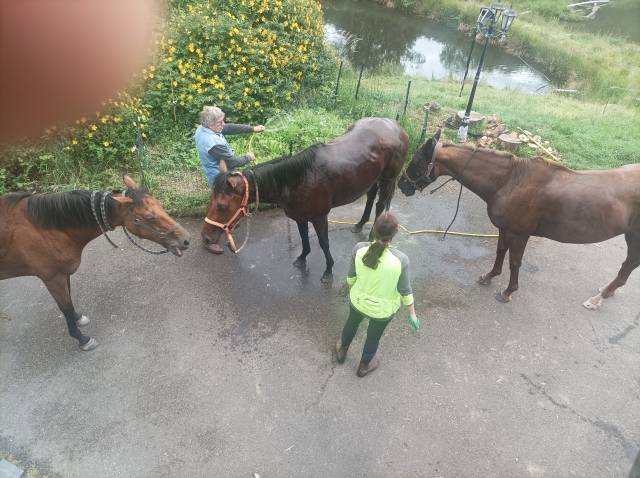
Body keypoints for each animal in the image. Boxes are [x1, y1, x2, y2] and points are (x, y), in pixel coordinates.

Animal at [0, 176, 190, 352]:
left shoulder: (63, 273)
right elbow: (65, 307)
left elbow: (69, 303)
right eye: (149, 217)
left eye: (161, 205)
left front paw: (78, 318)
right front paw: (82, 338)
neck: (45, 229)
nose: (186, 240)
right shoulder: (52, 278)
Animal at [202, 116, 408, 282]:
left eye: (222, 205)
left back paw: (373, 235)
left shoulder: (319, 217)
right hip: (372, 179)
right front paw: (302, 258)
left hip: (388, 179)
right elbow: (303, 238)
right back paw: (360, 224)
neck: (299, 179)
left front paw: (328, 270)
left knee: (380, 205)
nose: (205, 238)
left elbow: (324, 243)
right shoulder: (300, 216)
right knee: (370, 198)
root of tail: (397, 127)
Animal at [400, 130, 640, 310]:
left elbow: (515, 262)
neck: (510, 181)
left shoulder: (519, 234)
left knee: (628, 266)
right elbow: (500, 252)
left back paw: (599, 297)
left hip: (634, 237)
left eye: (417, 160)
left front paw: (508, 291)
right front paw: (490, 276)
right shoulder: (505, 229)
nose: (403, 185)